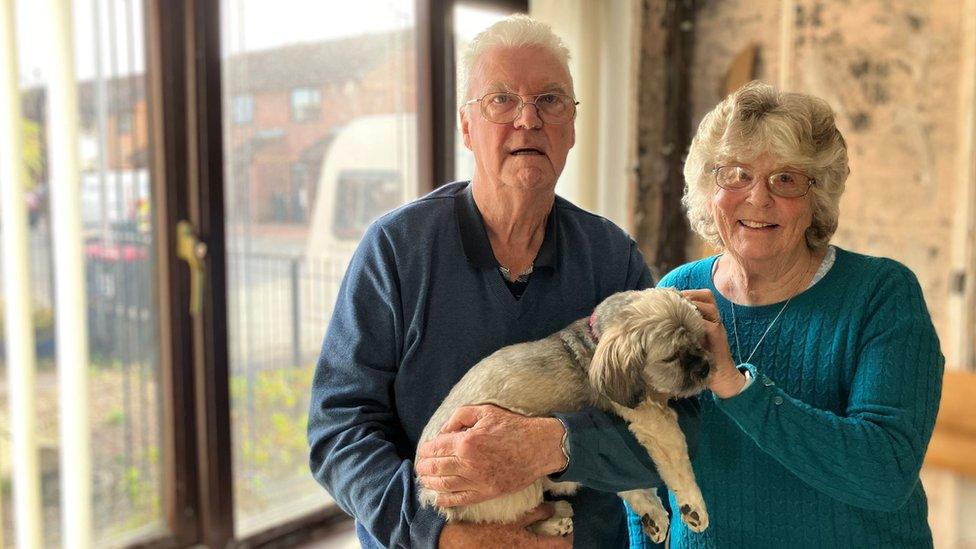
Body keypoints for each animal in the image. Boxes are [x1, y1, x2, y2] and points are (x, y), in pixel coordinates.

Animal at [416, 286, 712, 540]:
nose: (704, 368)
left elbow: (625, 481)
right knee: (515, 521)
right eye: (671, 357)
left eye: (701, 340)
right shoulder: (655, 423)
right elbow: (680, 469)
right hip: (516, 483)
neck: (597, 340)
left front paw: (653, 513)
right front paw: (693, 507)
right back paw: (555, 521)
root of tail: (428, 492)